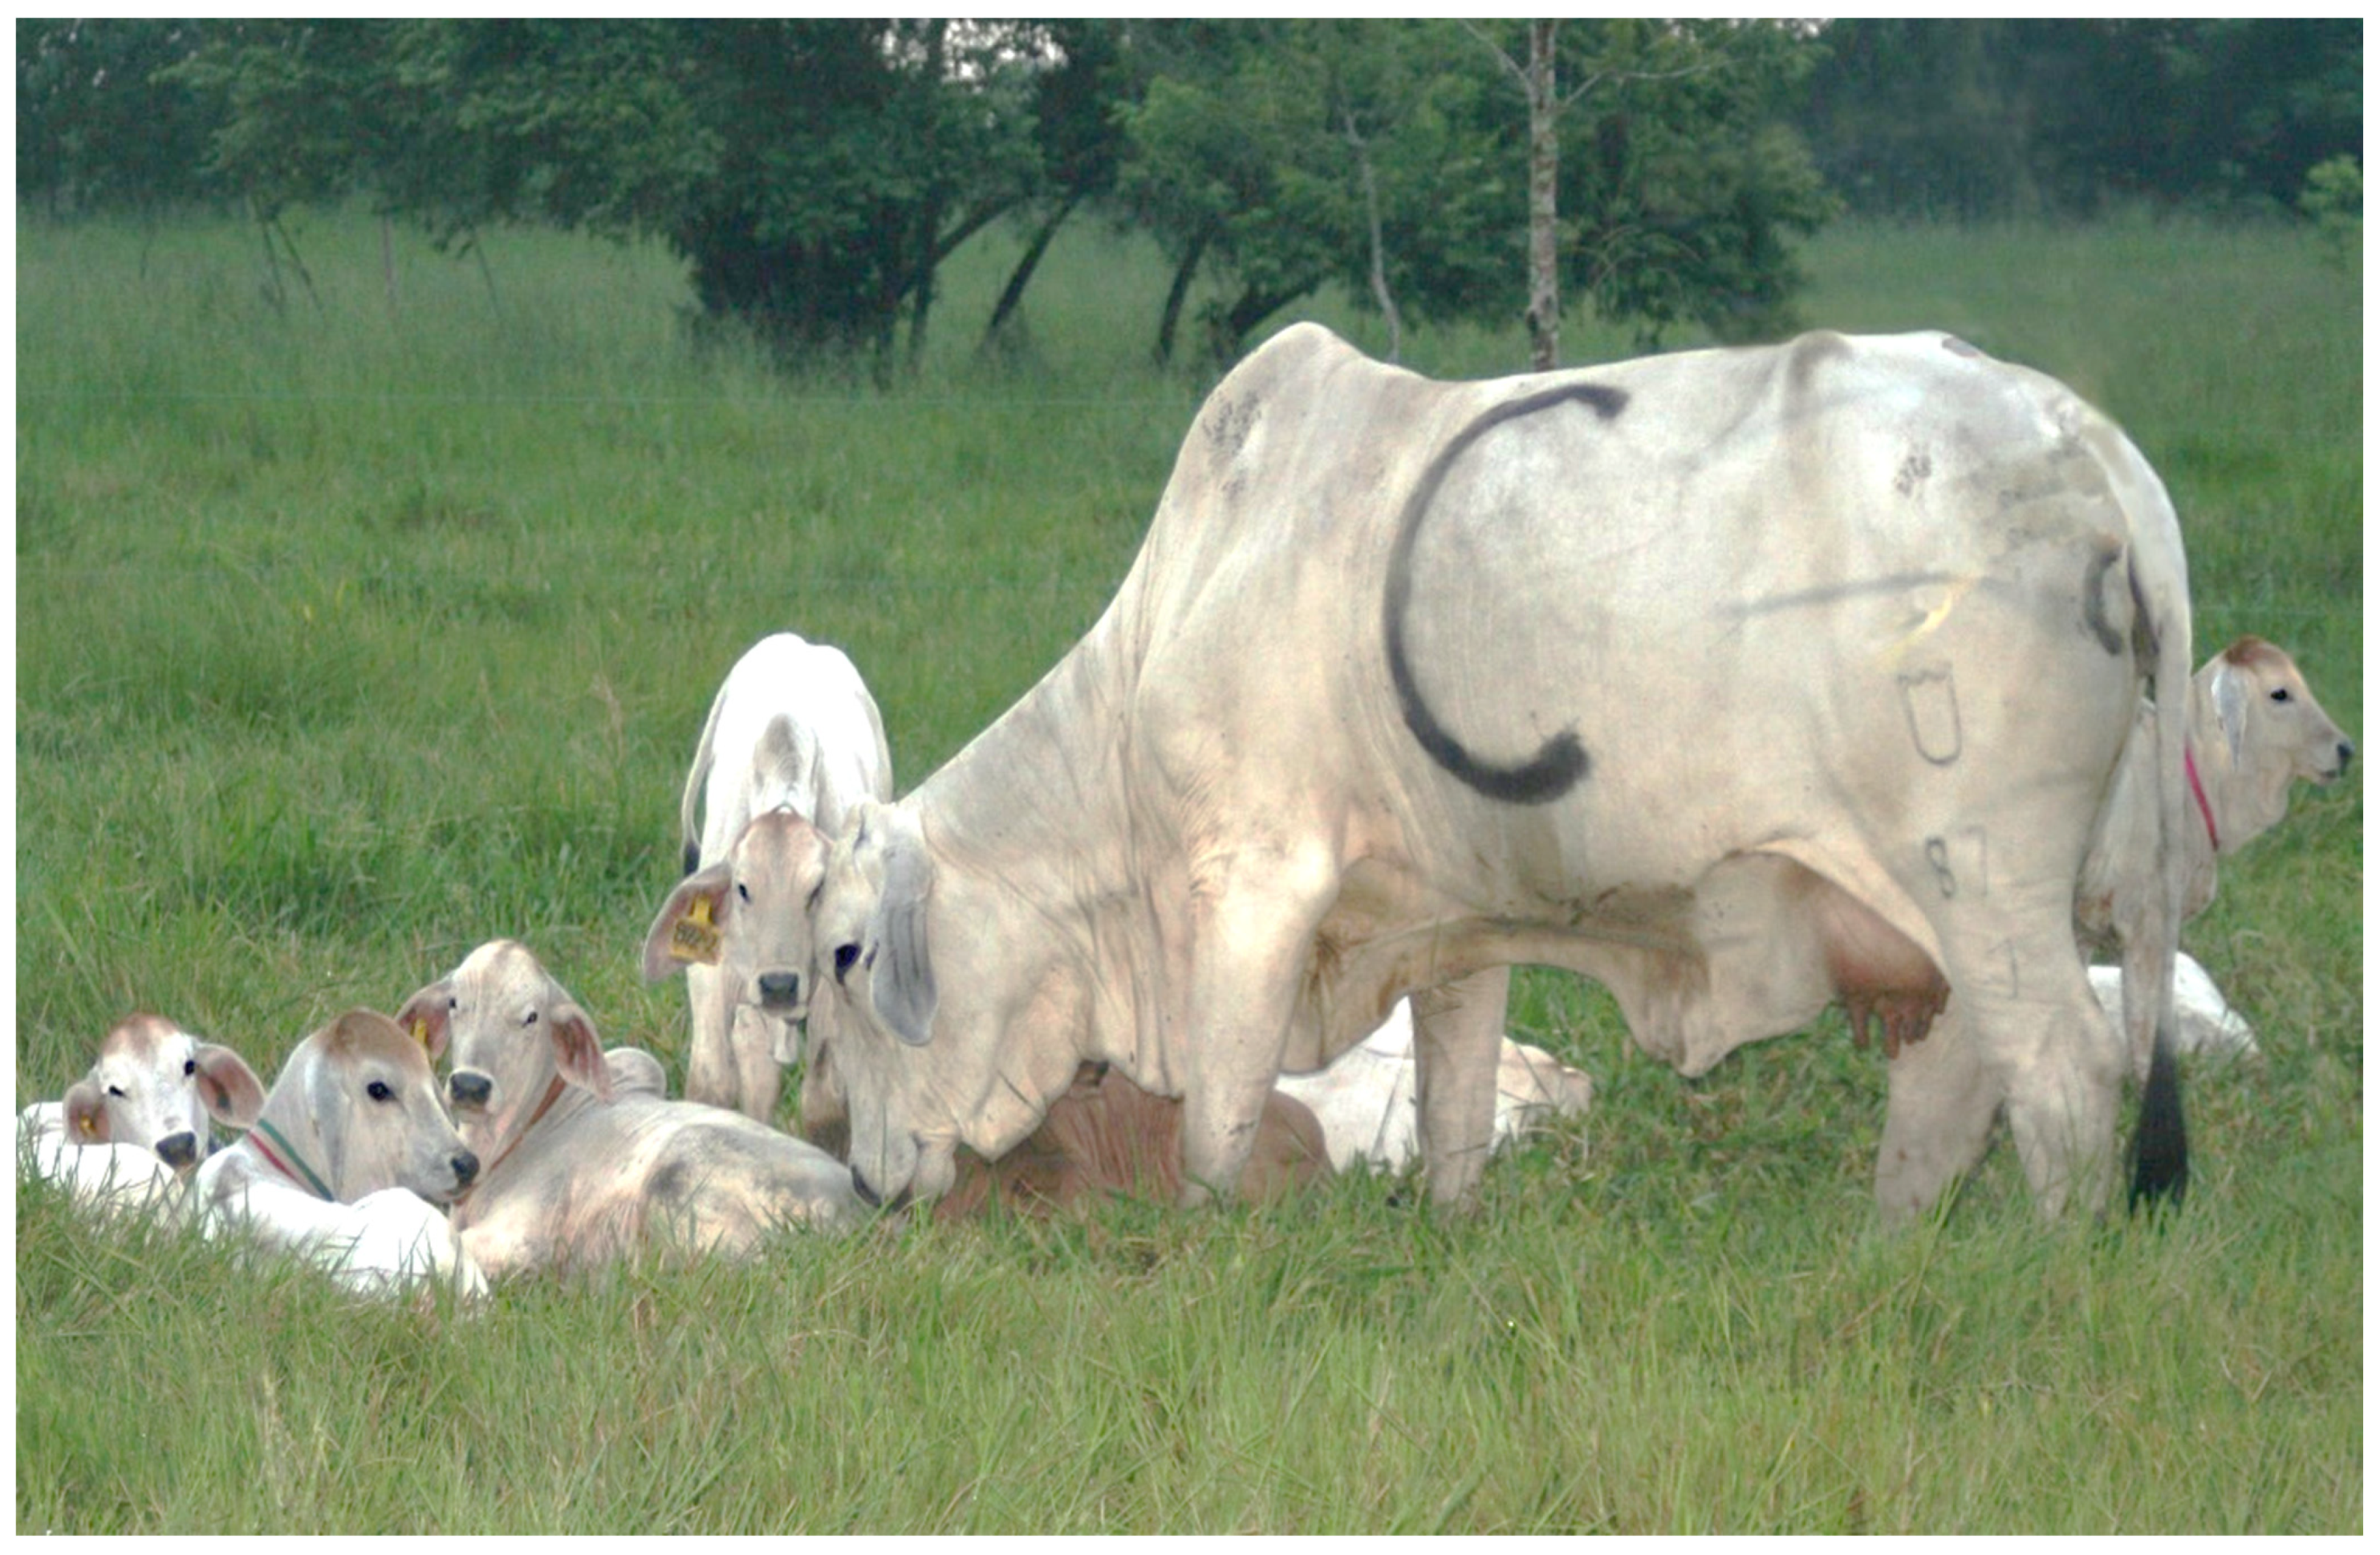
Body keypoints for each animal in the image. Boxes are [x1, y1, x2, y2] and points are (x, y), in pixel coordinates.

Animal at [671, 623, 895, 1123]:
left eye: (818, 889)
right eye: (741, 888)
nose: (778, 983)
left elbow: (823, 1101)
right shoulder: (714, 978)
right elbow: (713, 1084)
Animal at [794, 323, 2189, 1228]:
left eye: (847, 959)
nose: (864, 1179)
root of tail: (2088, 444)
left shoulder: (1250, 882)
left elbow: (1217, 1123)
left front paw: (1205, 1248)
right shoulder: (1445, 924)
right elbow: (1453, 1102)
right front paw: (1449, 1229)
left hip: (1981, 876)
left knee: (2065, 1073)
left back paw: (2051, 1270)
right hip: (1967, 915)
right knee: (1960, 1084)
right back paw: (1894, 1249)